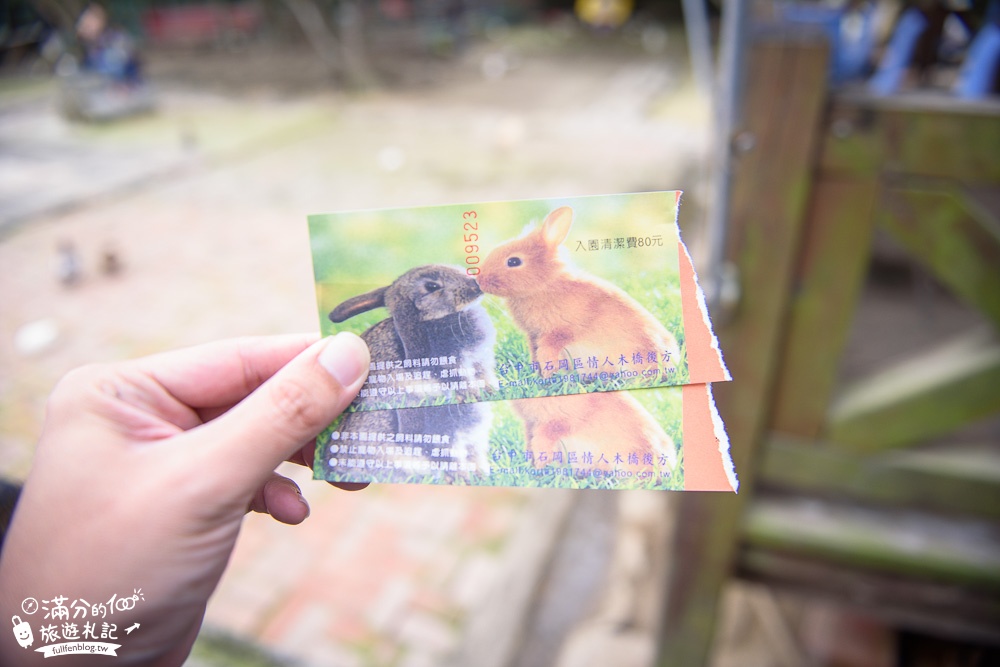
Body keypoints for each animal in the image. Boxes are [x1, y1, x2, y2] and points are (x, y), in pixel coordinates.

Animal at [476, 206, 680, 378]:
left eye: (514, 261)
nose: (479, 280)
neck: (545, 285)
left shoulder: (555, 334)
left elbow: (547, 355)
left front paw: (547, 377)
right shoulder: (533, 336)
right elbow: (536, 355)